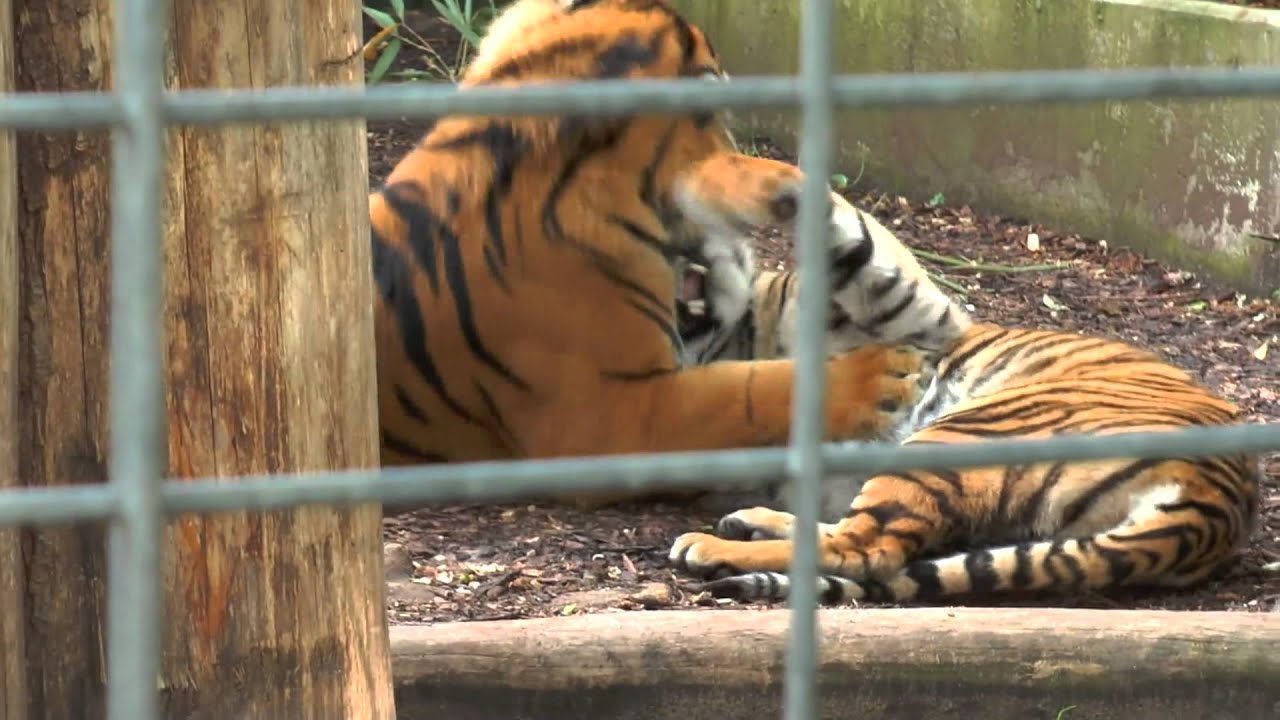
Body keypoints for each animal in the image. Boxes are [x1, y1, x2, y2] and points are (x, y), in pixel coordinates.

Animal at [668, 215, 1261, 604]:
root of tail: (1218, 505)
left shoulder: (912, 315)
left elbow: (867, 248)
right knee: (863, 541)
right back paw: (743, 526)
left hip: (960, 431)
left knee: (863, 546)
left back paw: (713, 545)